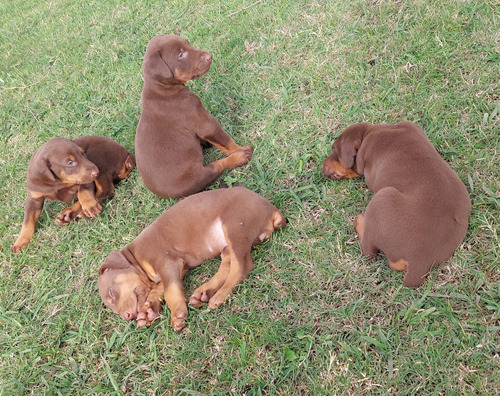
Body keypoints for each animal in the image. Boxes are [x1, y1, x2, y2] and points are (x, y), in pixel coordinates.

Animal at [97, 187, 286, 330]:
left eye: (112, 293)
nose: (127, 316)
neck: (135, 258)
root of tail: (273, 210)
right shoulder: (179, 268)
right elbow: (158, 290)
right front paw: (148, 311)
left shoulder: (167, 263)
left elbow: (170, 291)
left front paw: (177, 314)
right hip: (227, 244)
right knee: (228, 265)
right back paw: (205, 292)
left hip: (235, 226)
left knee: (242, 266)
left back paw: (219, 295)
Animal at [134, 34, 254, 198]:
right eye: (180, 55)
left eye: (187, 43)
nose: (209, 56)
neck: (162, 88)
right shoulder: (203, 121)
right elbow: (227, 141)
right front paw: (240, 149)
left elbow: (219, 142)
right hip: (196, 176)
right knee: (217, 166)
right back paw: (240, 158)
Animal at [322, 122, 470, 286]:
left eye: (334, 150)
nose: (322, 167)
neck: (371, 132)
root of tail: (418, 264)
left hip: (382, 197)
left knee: (368, 250)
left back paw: (360, 220)